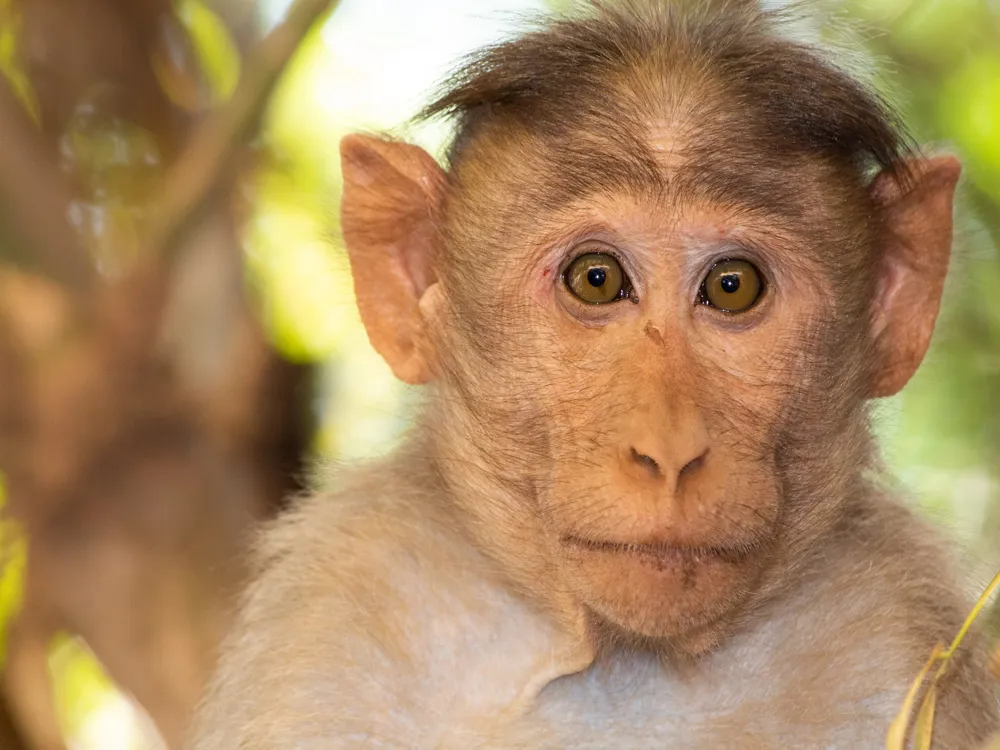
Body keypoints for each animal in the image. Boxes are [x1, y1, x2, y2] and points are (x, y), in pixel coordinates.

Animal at [188, 1, 1000, 750]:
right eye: (597, 279)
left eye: (733, 285)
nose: (668, 453)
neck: (625, 663)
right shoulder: (332, 621)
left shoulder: (898, 631)